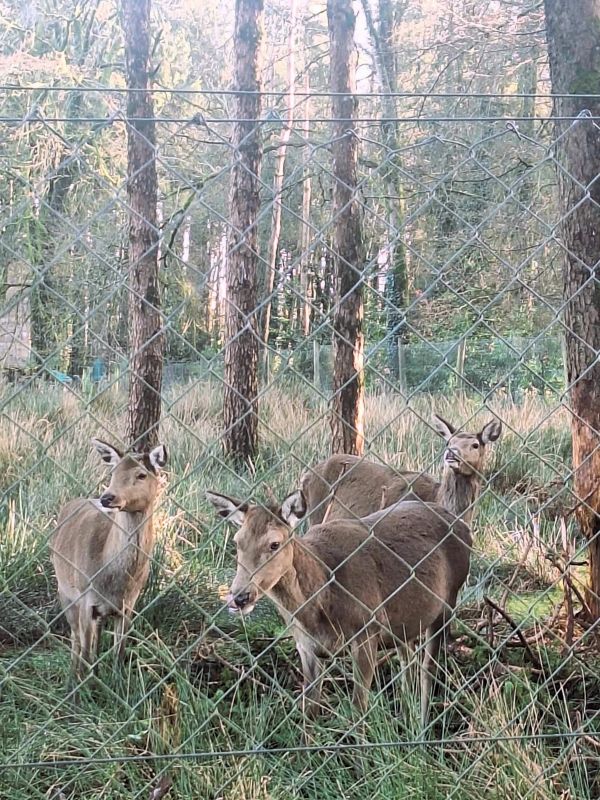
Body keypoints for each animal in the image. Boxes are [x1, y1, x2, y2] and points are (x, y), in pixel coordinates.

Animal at [51, 438, 167, 683]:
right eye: (113, 472)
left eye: (141, 474)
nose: (107, 497)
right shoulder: (86, 598)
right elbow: (85, 652)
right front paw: (82, 688)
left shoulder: (128, 605)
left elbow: (118, 653)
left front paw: (116, 683)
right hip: (65, 591)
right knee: (76, 640)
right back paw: (72, 677)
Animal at [206, 488, 471, 728]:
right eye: (237, 542)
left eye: (274, 544)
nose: (239, 597)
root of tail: (462, 526)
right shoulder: (306, 645)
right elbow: (309, 711)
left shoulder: (367, 629)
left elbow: (358, 708)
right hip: (405, 623)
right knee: (409, 665)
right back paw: (409, 720)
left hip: (448, 602)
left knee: (429, 669)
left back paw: (423, 728)